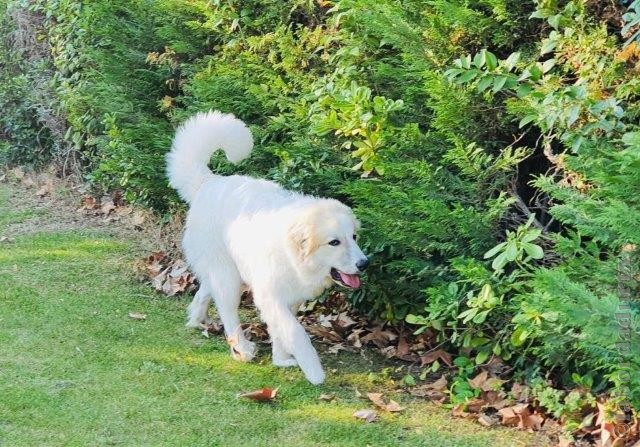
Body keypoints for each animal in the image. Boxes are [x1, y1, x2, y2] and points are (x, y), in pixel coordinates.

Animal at [166, 111, 370, 384]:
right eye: (334, 242)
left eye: (354, 237)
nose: (364, 263)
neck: (293, 254)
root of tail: (210, 182)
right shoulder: (271, 297)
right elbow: (296, 333)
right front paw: (313, 371)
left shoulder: (289, 299)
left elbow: (280, 332)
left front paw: (280, 360)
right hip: (228, 278)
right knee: (228, 312)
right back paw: (241, 348)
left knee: (206, 291)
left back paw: (197, 318)